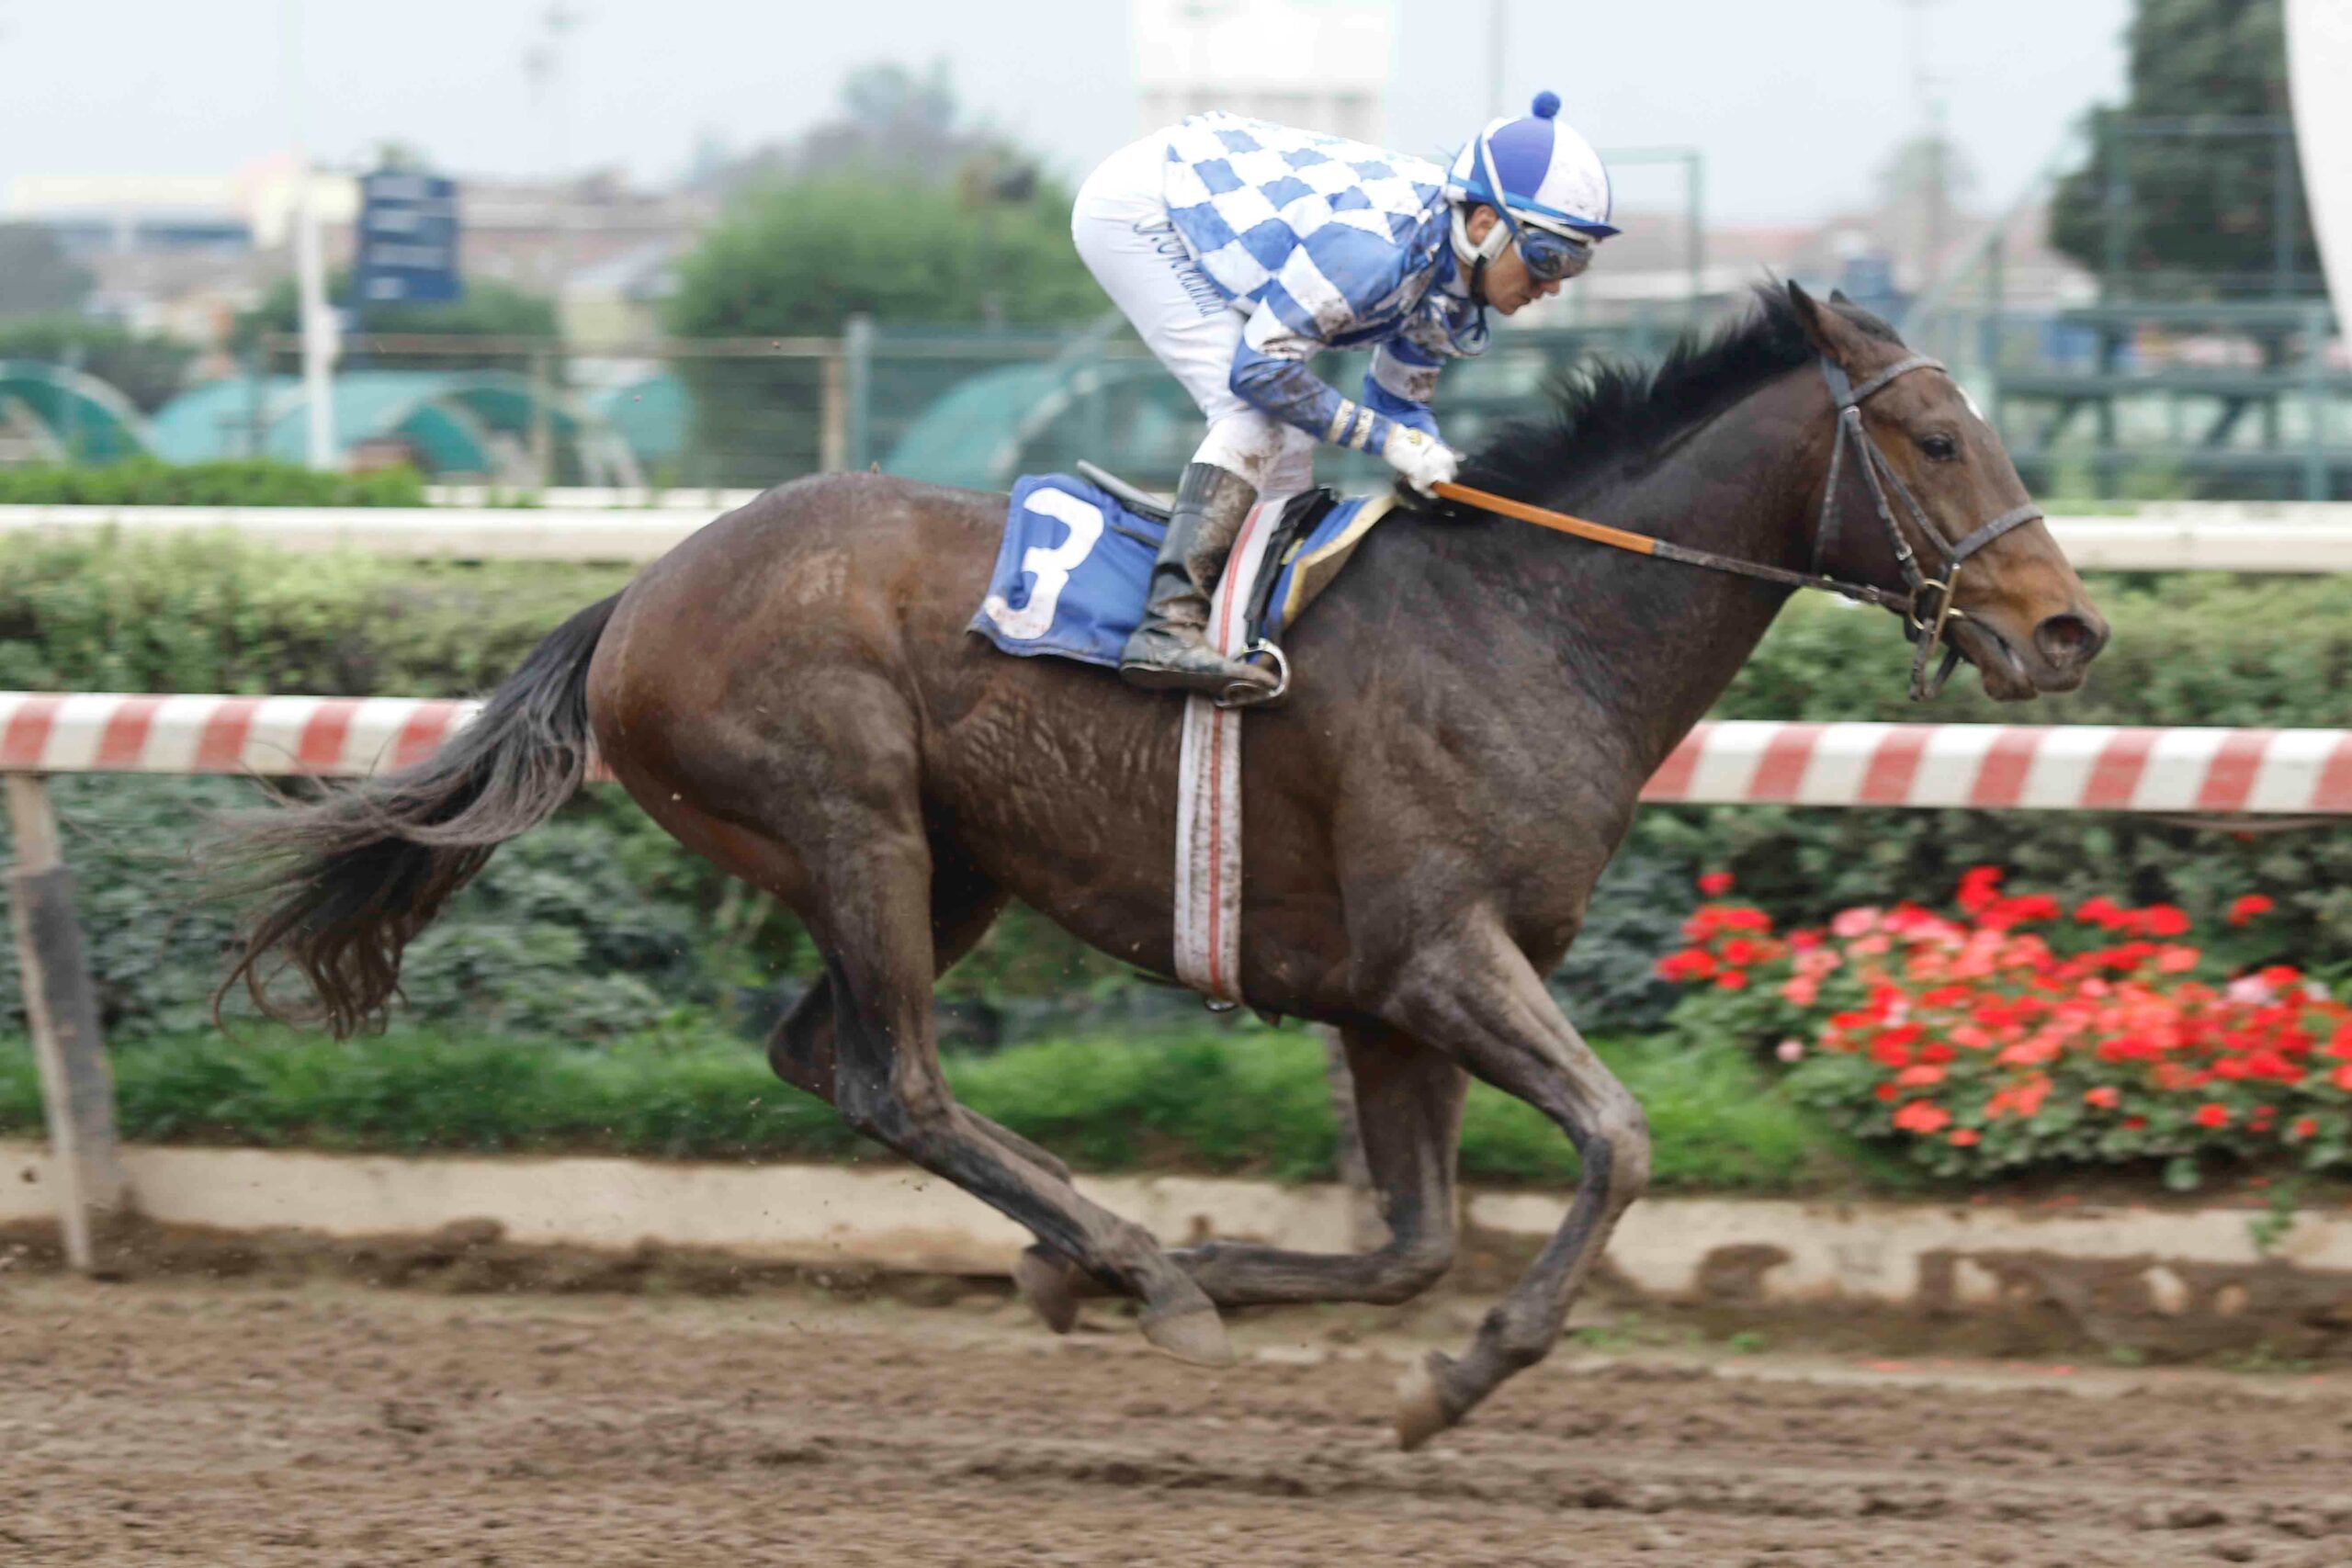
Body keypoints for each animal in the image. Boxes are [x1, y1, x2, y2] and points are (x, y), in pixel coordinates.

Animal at [215, 282, 2107, 1448]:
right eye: (1940, 437)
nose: (2067, 627)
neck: (1530, 622)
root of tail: (643, 589)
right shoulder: (1439, 957)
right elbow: (1619, 1142)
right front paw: (1453, 1376)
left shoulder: (1389, 1003)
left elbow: (1411, 1242)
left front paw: (1294, 1315)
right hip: (853, 818)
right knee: (898, 1080)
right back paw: (1145, 1264)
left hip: (949, 864)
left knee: (822, 1055)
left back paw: (1109, 1256)